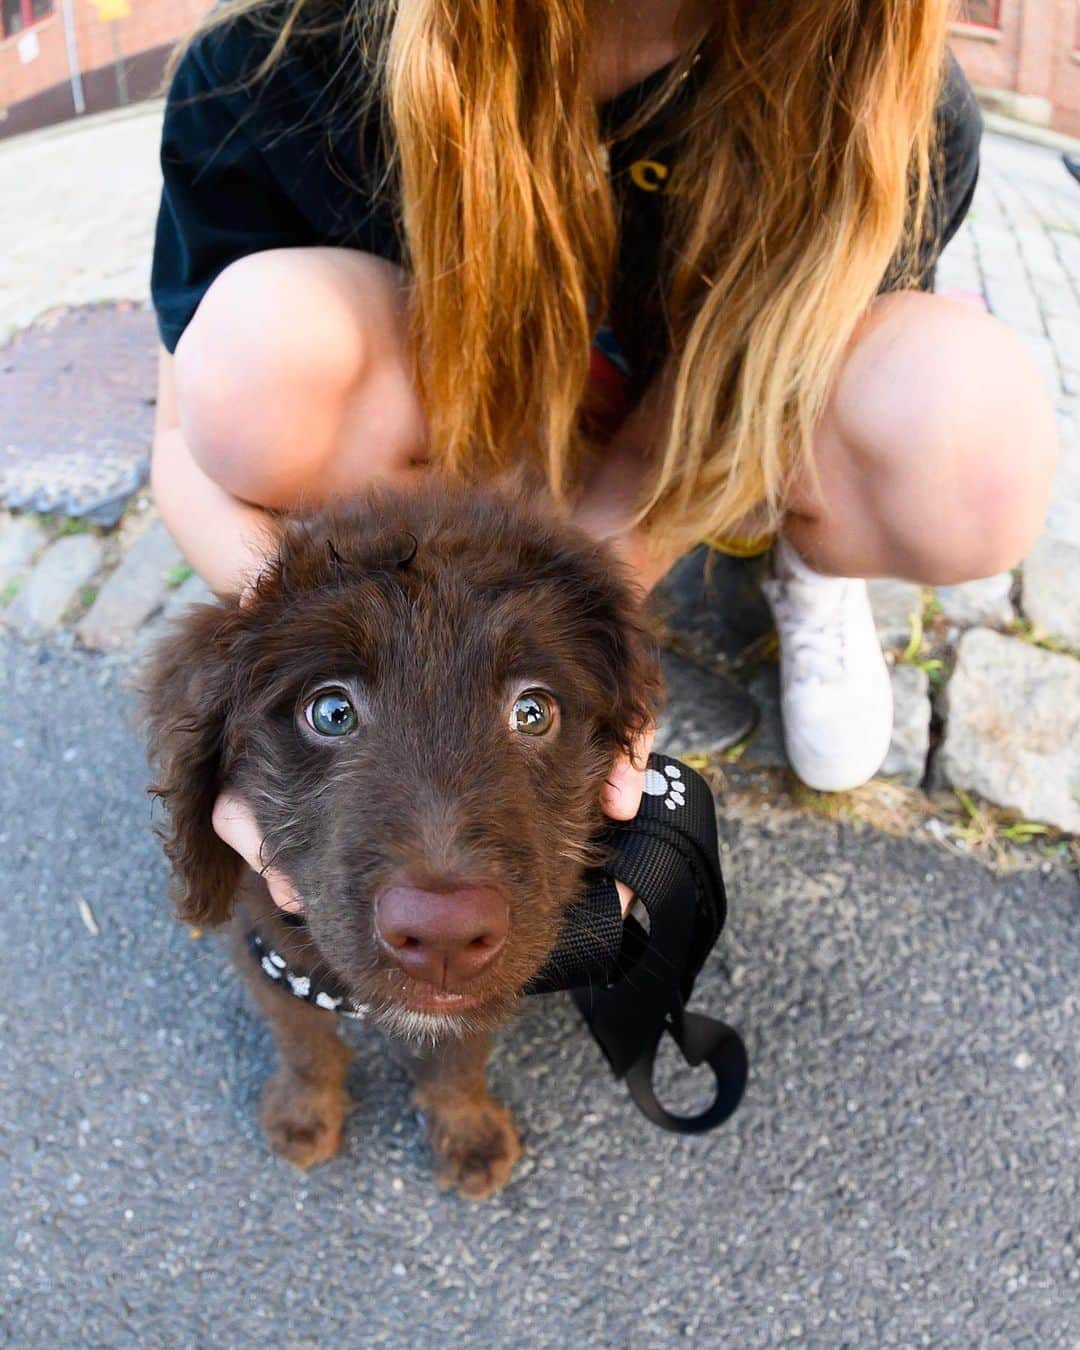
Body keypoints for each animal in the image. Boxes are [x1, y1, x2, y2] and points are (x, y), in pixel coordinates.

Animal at [139, 480, 661, 1198]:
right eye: (331, 712)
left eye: (533, 712)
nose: (443, 934)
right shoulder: (264, 948)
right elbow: (303, 1042)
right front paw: (304, 1114)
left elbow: (458, 1056)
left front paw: (466, 1131)